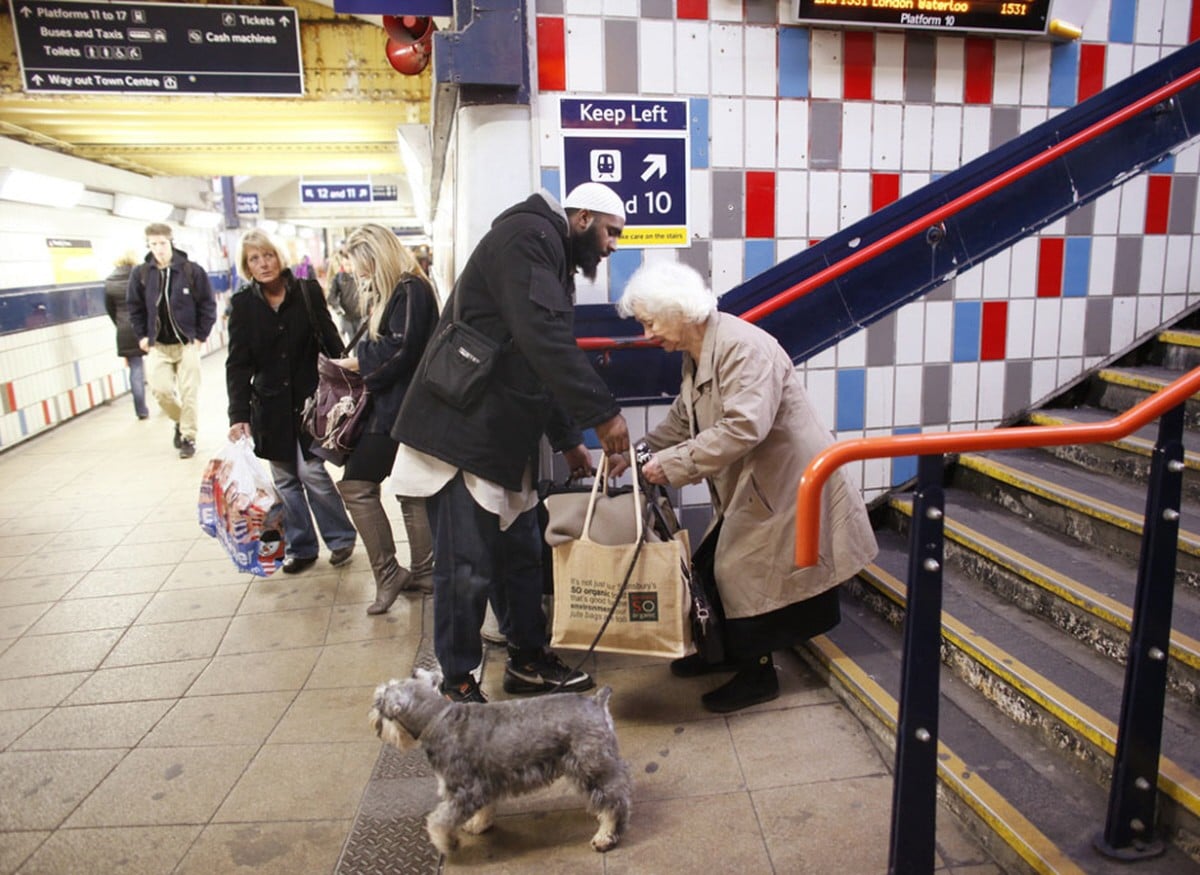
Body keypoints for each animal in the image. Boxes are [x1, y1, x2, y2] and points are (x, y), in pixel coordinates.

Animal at [367, 667, 633, 854]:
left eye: (380, 701)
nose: (373, 720)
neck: (438, 718)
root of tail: (596, 702)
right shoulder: (485, 785)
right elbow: (485, 808)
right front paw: (478, 824)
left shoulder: (464, 792)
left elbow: (439, 820)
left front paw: (446, 842)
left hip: (590, 768)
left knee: (613, 803)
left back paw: (604, 836)